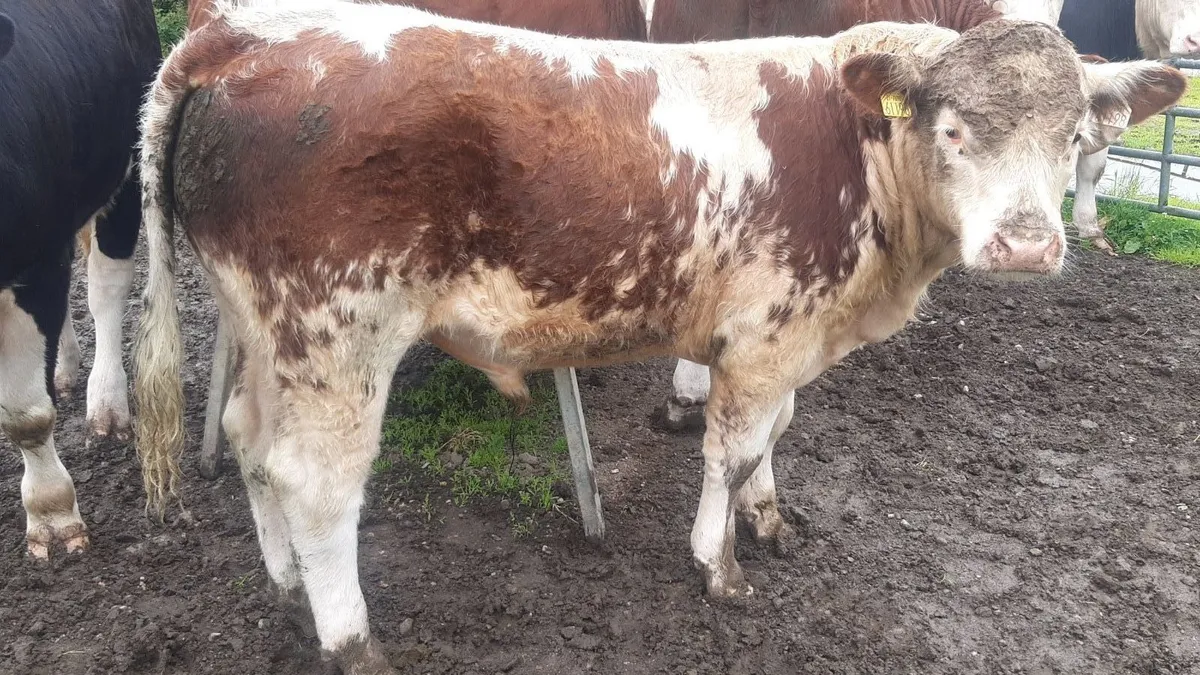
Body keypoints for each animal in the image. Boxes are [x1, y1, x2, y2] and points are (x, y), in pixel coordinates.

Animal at [0, 0, 160, 559]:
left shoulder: (31, 266)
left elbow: (25, 415)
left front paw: (51, 513)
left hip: (125, 163)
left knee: (106, 288)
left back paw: (107, 404)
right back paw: (66, 364)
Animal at [132, 1, 1185, 670]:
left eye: (1075, 137)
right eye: (956, 129)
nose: (1027, 245)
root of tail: (240, 36)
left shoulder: (788, 336)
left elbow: (775, 434)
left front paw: (771, 519)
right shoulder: (762, 338)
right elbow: (730, 449)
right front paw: (719, 563)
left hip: (263, 330)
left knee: (248, 442)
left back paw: (282, 585)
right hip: (337, 333)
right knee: (315, 483)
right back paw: (351, 640)